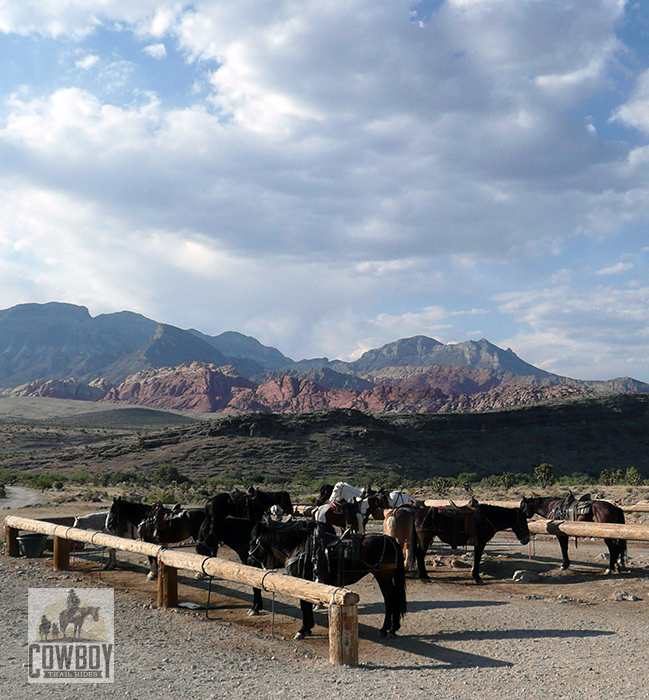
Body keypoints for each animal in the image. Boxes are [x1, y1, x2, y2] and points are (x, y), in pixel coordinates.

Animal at [248, 520, 404, 640]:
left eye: (252, 542)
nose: (249, 559)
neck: (297, 548)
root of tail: (392, 541)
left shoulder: (302, 580)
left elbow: (304, 605)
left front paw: (302, 630)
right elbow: (307, 604)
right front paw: (308, 627)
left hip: (383, 576)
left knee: (390, 599)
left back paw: (386, 629)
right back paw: (392, 628)